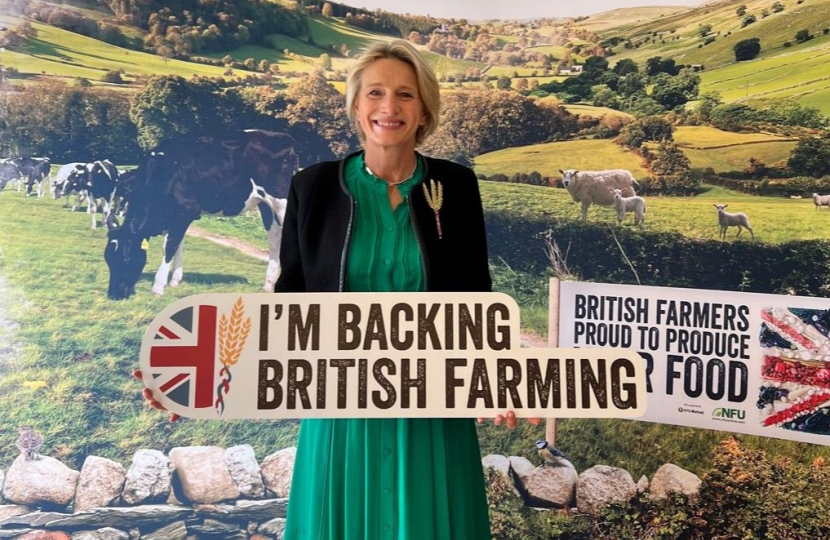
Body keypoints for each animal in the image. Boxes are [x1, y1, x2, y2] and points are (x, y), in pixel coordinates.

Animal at [104, 131, 298, 300]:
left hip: (282, 201)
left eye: (126, 257)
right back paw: (268, 285)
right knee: (274, 239)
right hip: (265, 205)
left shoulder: (186, 211)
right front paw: (174, 281)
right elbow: (178, 244)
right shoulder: (173, 216)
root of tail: (285, 138)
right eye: (107, 259)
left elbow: (170, 247)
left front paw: (158, 287)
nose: (114, 295)